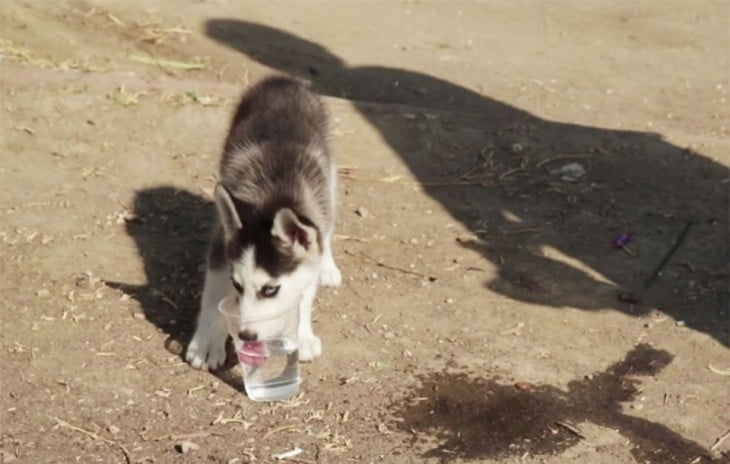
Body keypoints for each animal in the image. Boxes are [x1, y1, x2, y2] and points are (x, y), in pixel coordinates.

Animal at [185, 78, 338, 372]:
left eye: (270, 290)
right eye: (237, 285)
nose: (246, 335)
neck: (276, 197)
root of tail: (283, 80)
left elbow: (303, 294)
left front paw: (302, 335)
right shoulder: (221, 246)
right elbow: (213, 294)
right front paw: (207, 342)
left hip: (331, 179)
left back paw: (328, 266)